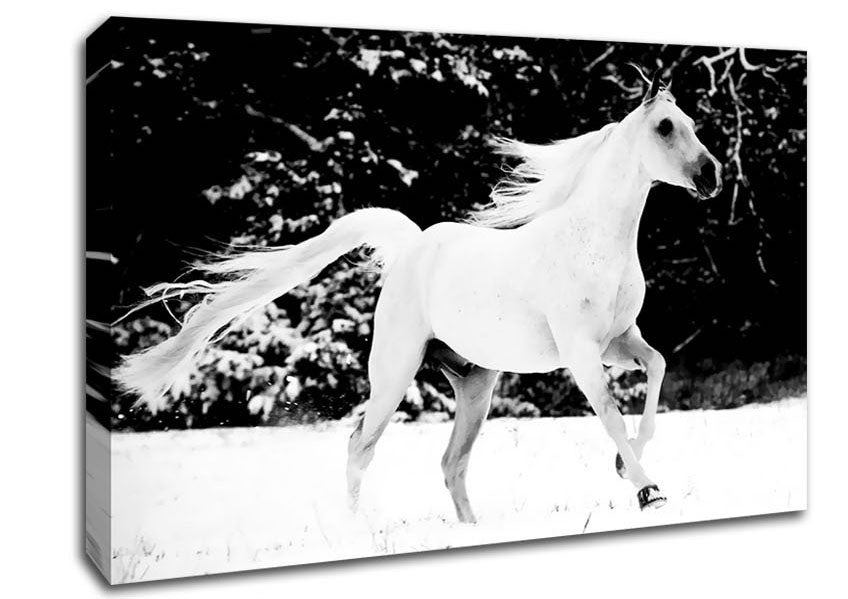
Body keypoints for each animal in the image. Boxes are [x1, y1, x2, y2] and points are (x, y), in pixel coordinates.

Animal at [115, 74, 722, 523]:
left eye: (692, 125)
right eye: (665, 126)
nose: (712, 175)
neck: (593, 241)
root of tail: (410, 246)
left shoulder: (620, 342)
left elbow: (657, 371)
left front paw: (626, 469)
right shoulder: (581, 352)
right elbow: (612, 416)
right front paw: (648, 491)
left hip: (475, 384)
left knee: (451, 463)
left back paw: (471, 530)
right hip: (394, 371)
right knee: (361, 445)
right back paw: (358, 530)